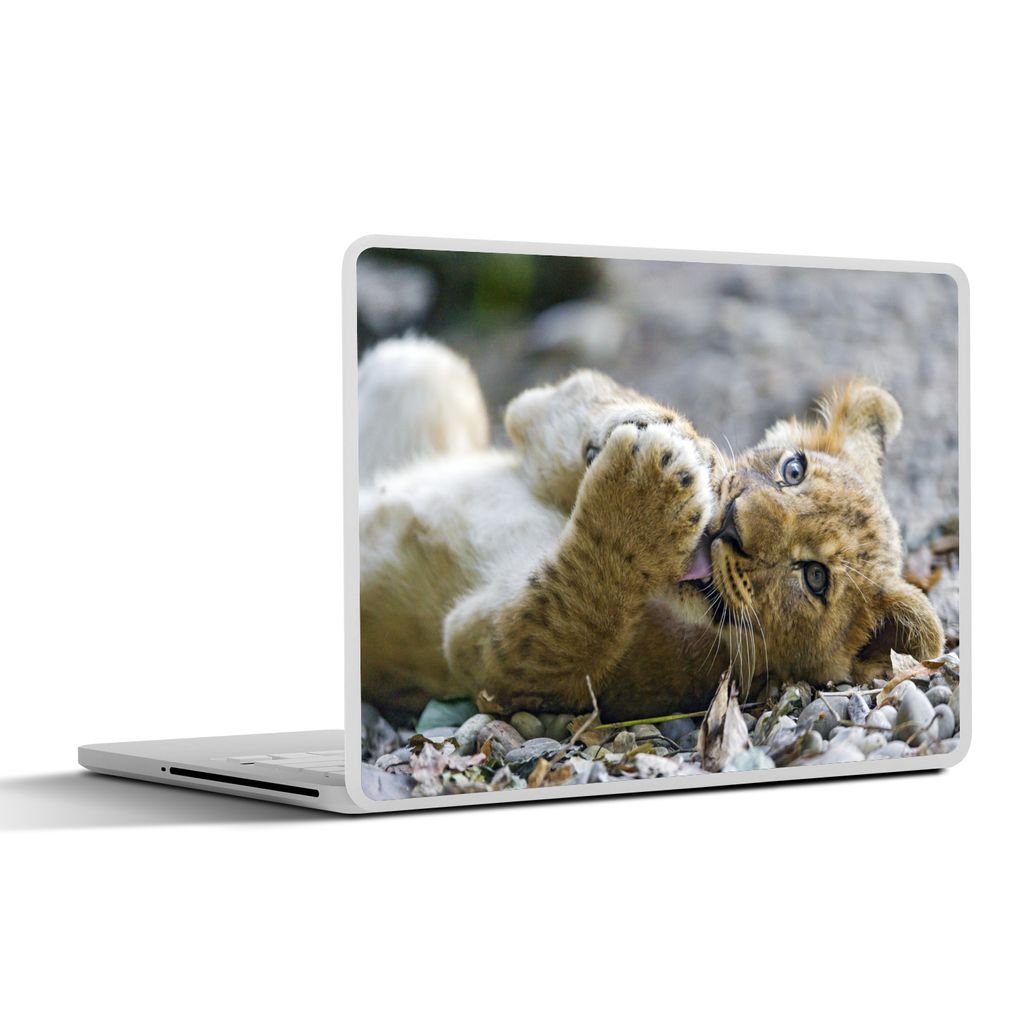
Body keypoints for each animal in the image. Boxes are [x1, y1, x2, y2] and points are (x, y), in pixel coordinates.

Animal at [358, 337, 944, 722]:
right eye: (792, 470)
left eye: (815, 578)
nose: (731, 524)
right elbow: (559, 403)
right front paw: (666, 435)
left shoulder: (499, 670)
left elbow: (575, 607)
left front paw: (644, 499)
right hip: (423, 365)